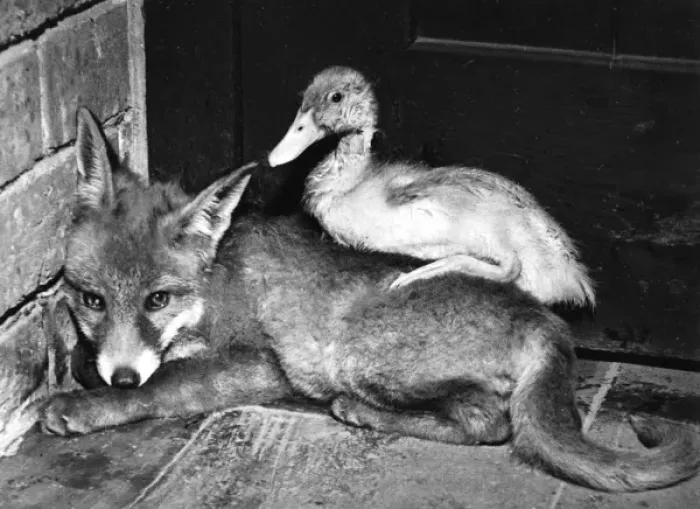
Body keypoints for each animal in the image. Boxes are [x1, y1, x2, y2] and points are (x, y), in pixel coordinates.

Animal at [39, 108, 700, 493]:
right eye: (92, 299)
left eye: (158, 299)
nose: (122, 377)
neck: (215, 285)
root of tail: (542, 317)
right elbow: (96, 360)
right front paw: (94, 380)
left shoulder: (264, 364)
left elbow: (169, 385)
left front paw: (93, 406)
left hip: (354, 355)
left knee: (490, 423)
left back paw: (362, 413)